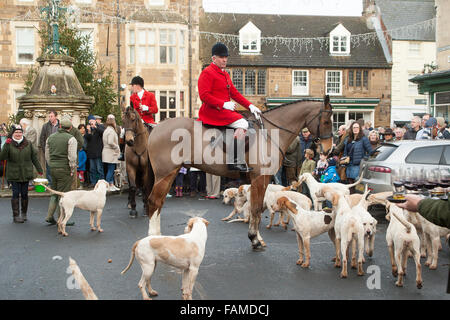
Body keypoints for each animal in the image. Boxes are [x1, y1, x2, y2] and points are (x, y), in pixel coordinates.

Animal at [146, 97, 332, 250]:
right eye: (326, 121)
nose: (328, 150)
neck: (270, 133)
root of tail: (156, 128)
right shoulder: (259, 178)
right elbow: (256, 209)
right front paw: (255, 239)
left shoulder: (262, 179)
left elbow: (257, 209)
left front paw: (255, 238)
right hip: (165, 174)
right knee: (154, 202)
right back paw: (153, 238)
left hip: (170, 174)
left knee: (159, 203)